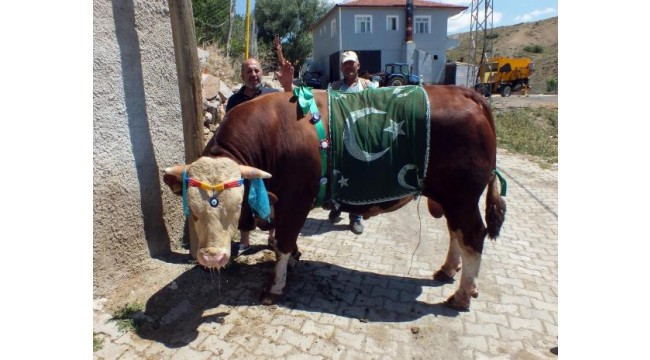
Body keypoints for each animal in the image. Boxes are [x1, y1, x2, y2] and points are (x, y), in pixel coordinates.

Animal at [163, 86, 506, 310]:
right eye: (193, 211)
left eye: (236, 207)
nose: (211, 257)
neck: (270, 133)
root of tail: (465, 92)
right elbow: (281, 240)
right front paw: (294, 259)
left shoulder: (295, 199)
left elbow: (283, 240)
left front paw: (275, 285)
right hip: (452, 198)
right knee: (456, 233)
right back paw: (448, 270)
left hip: (462, 196)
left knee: (472, 236)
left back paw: (462, 294)